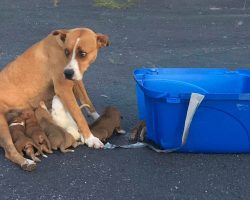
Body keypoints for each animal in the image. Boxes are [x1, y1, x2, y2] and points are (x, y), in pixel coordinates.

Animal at [0, 27, 109, 170]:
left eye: (82, 53)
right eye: (66, 52)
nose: (67, 73)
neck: (60, 45)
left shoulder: (77, 81)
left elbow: (88, 102)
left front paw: (99, 119)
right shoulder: (64, 89)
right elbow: (79, 116)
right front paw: (90, 138)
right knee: (9, 151)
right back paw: (26, 162)